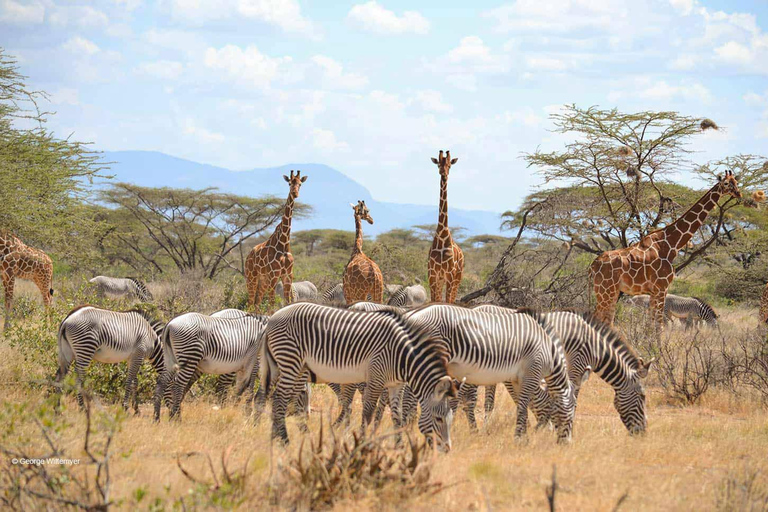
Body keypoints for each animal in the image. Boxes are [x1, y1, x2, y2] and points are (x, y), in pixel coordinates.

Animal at [244, 170, 308, 310]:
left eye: (300, 184)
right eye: (290, 183)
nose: (295, 194)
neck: (283, 242)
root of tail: (248, 256)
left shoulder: (287, 275)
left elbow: (287, 302)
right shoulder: (274, 274)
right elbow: (272, 303)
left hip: (263, 280)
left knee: (257, 302)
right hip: (252, 277)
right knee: (250, 302)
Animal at [249, 302, 460, 450]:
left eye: (450, 419)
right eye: (438, 419)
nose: (447, 450)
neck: (402, 355)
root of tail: (272, 318)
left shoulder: (395, 385)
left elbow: (397, 416)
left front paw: (400, 447)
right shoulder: (376, 378)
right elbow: (367, 413)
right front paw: (362, 444)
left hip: (288, 366)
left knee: (274, 398)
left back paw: (276, 437)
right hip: (290, 361)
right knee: (279, 399)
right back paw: (284, 441)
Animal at [592, 168, 740, 328]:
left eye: (736, 182)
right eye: (726, 183)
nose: (739, 194)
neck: (671, 244)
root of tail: (593, 265)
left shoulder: (654, 291)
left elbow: (652, 323)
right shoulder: (662, 288)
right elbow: (659, 325)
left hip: (610, 292)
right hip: (605, 291)